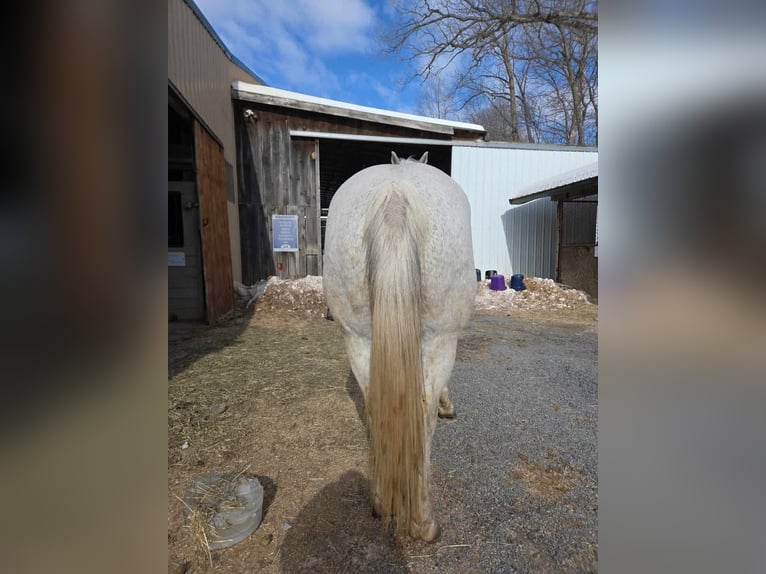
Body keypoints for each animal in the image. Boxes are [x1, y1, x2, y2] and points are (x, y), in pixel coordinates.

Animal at [322, 151, 476, 541]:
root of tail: (395, 196)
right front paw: (448, 406)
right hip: (440, 339)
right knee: (422, 413)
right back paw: (423, 522)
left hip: (359, 337)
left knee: (375, 405)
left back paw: (381, 504)